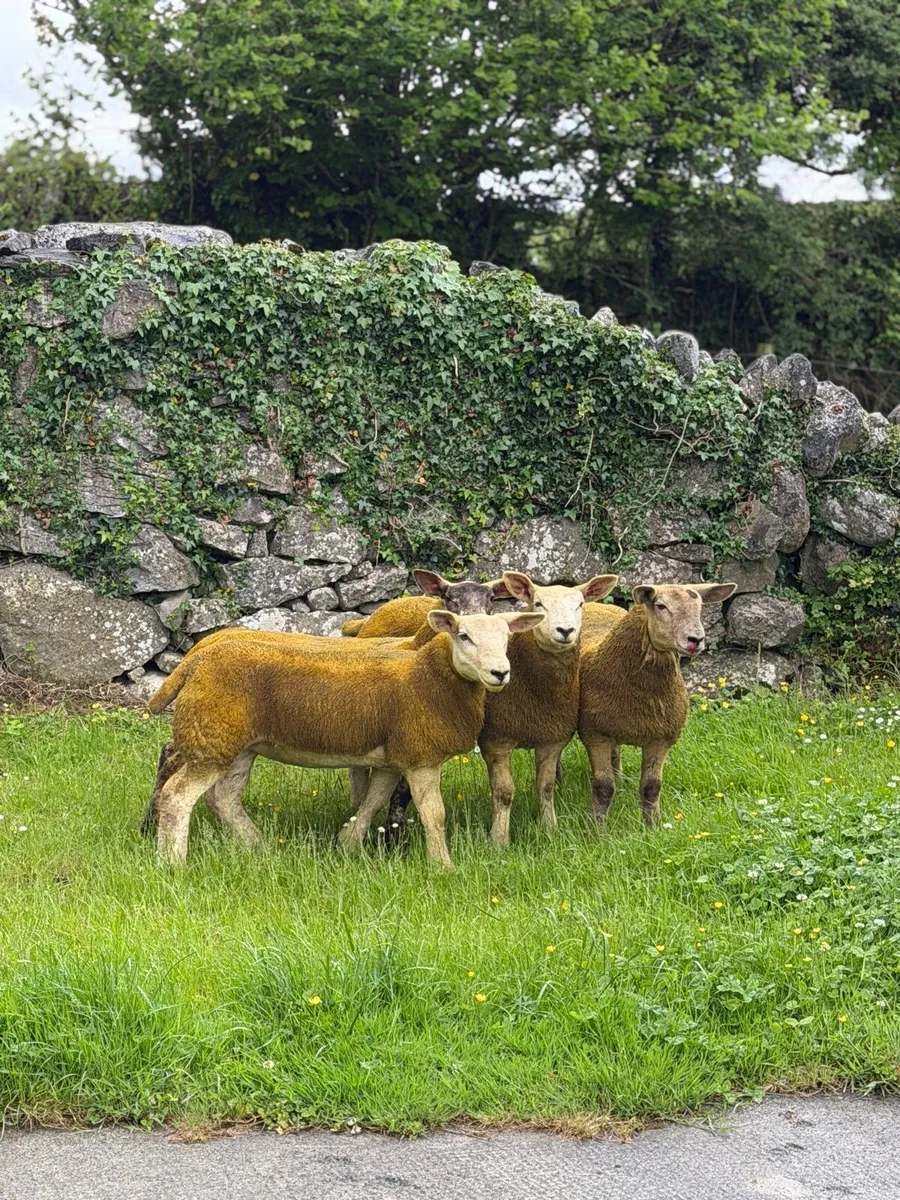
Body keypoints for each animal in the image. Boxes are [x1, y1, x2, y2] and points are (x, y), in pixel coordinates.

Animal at [146, 608, 543, 866]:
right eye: (464, 636)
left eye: (507, 638)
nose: (500, 672)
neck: (429, 677)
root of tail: (195, 661)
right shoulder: (421, 757)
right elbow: (434, 814)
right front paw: (442, 866)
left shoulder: (392, 757)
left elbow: (373, 801)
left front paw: (347, 845)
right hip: (210, 738)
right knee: (177, 796)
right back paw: (173, 863)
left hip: (234, 743)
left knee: (224, 798)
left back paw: (258, 847)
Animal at [578, 582, 736, 827]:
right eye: (661, 606)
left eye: (700, 607)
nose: (696, 639)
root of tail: (597, 604)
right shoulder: (595, 734)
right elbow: (603, 788)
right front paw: (597, 828)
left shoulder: (661, 737)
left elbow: (651, 787)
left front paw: (651, 826)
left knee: (616, 753)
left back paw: (620, 778)